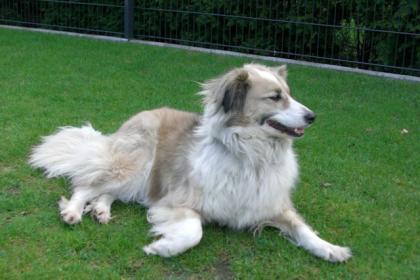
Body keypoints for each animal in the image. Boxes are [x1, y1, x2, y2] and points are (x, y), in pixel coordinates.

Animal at [29, 64, 352, 262]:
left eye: (290, 94)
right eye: (275, 97)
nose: (312, 116)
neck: (251, 156)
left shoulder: (274, 206)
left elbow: (304, 229)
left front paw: (331, 249)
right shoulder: (175, 203)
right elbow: (194, 232)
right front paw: (163, 247)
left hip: (140, 181)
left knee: (107, 192)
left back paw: (101, 210)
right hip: (136, 167)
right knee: (87, 184)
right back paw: (74, 211)